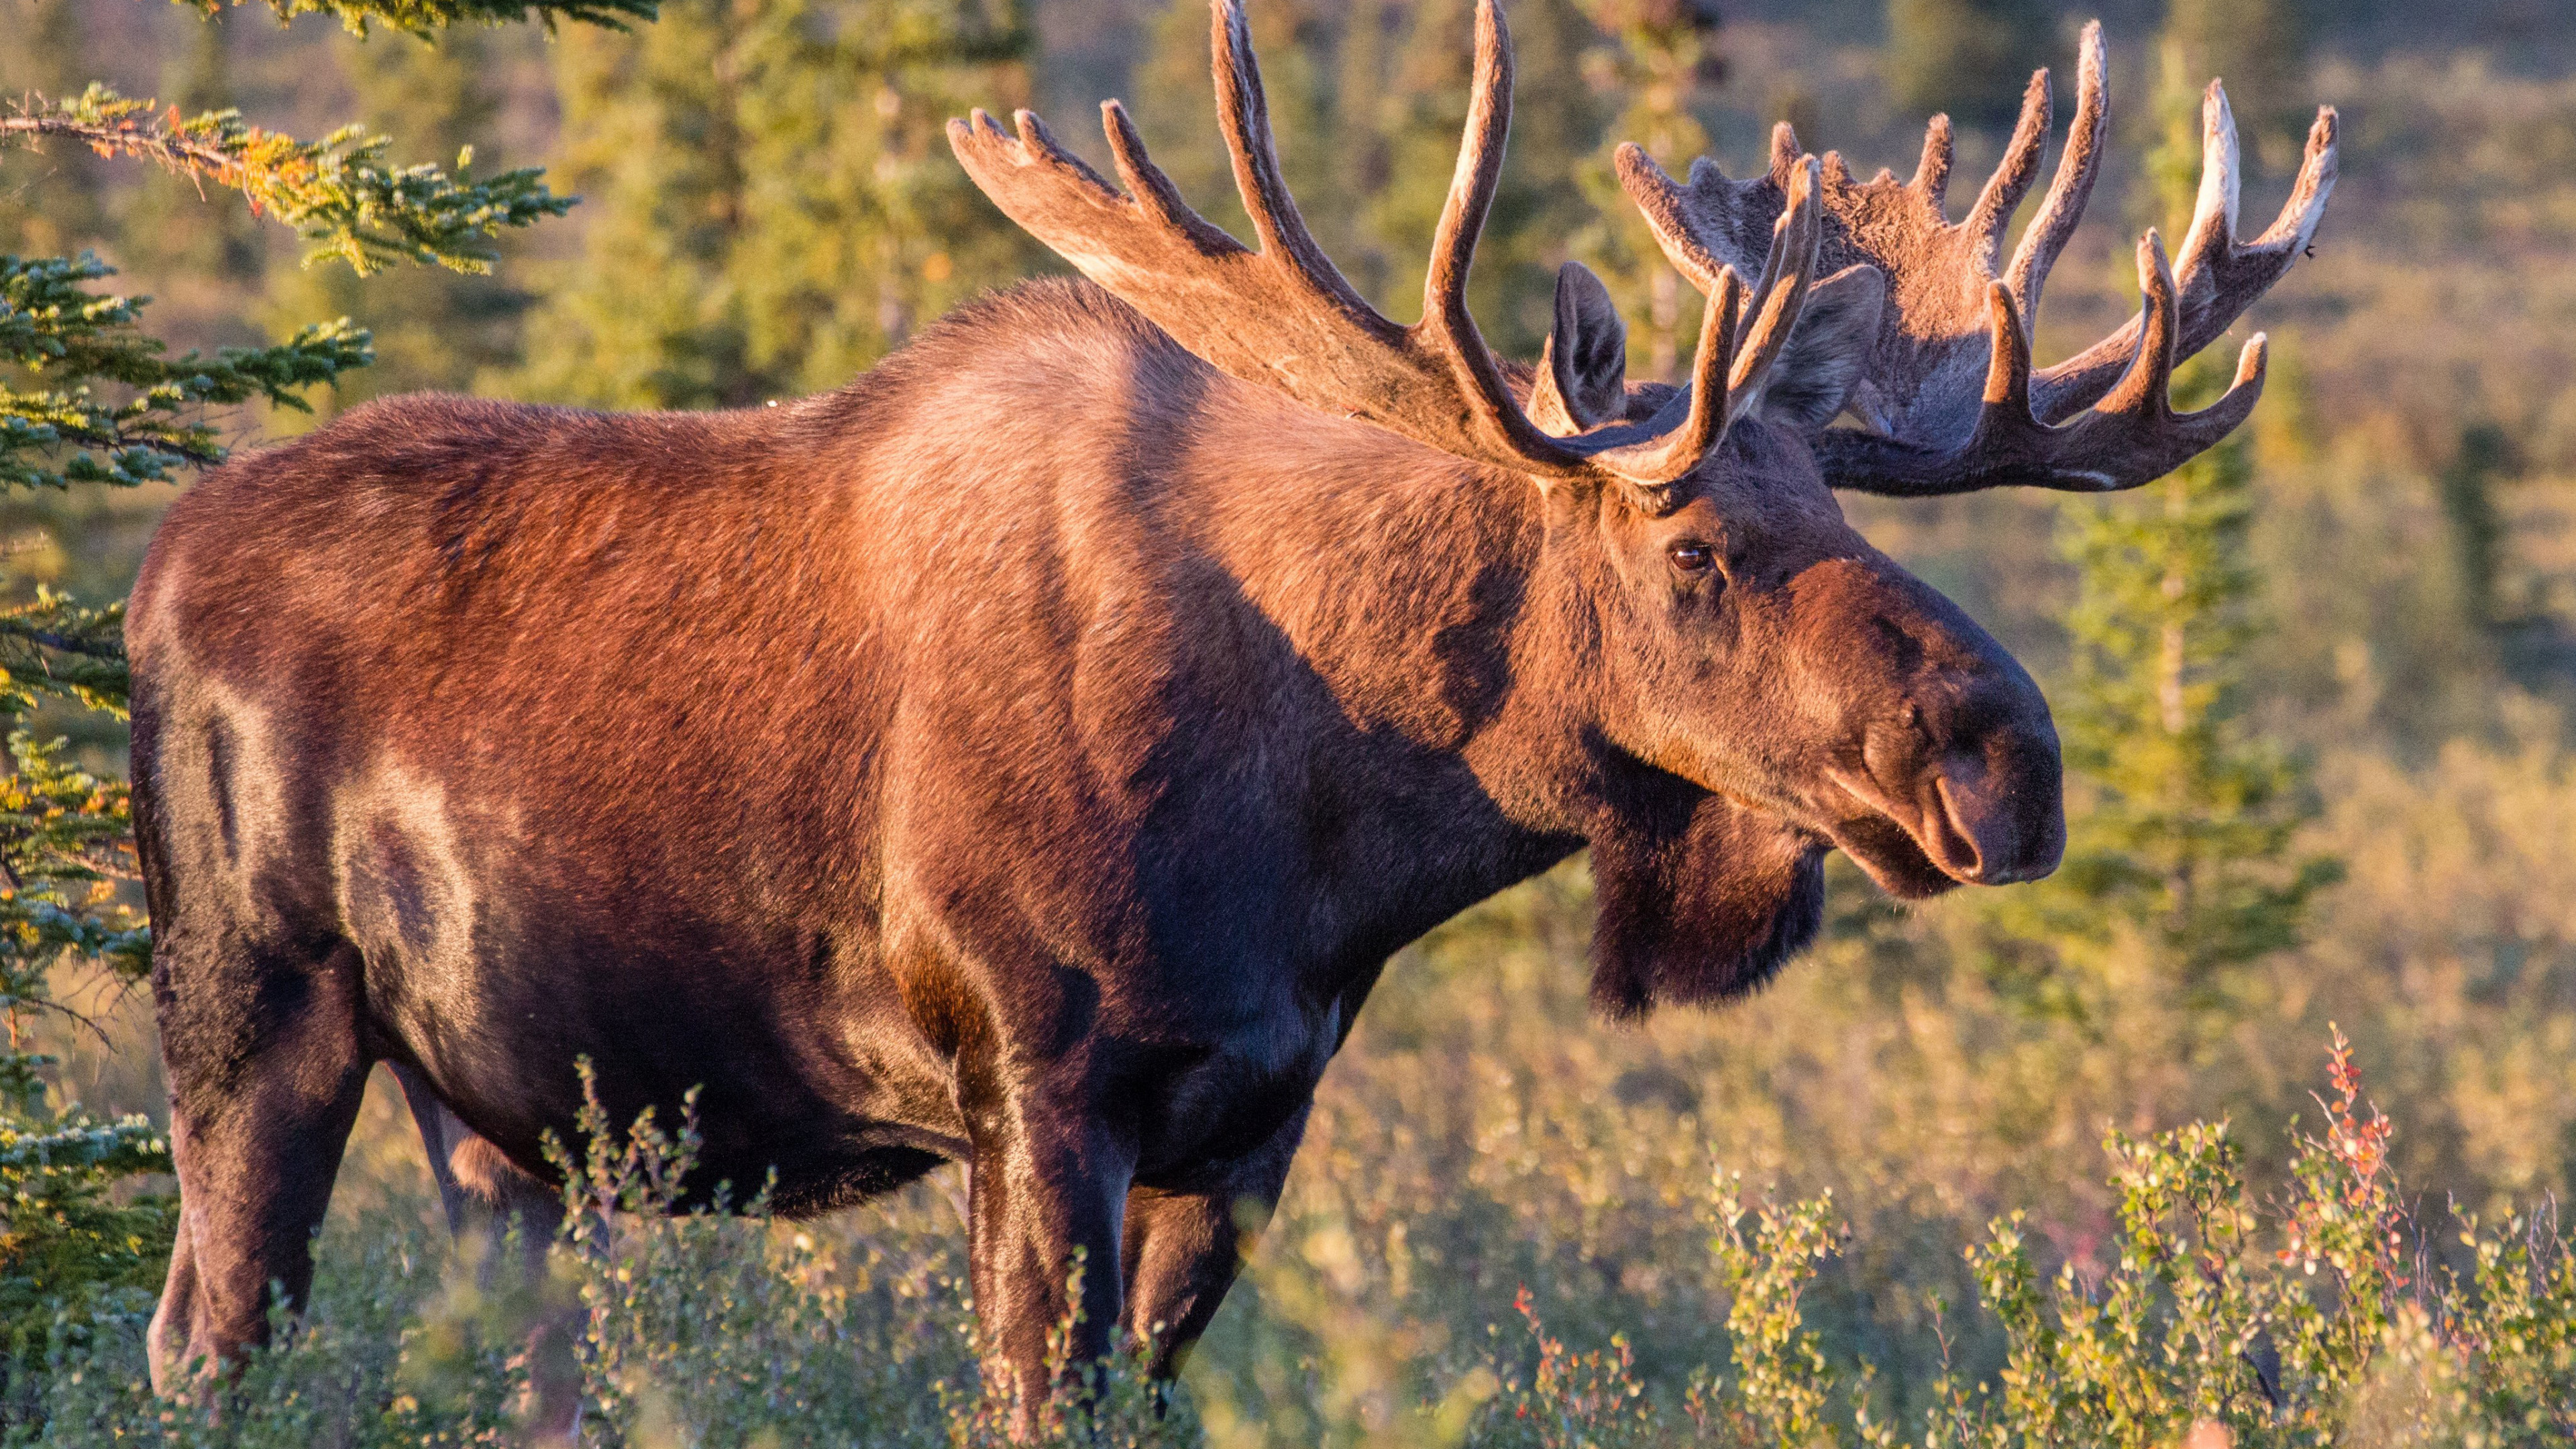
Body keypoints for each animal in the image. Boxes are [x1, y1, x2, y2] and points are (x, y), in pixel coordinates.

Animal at [125, 0, 2339, 1423]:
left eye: (1842, 505)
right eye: (1699, 544)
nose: (2008, 761)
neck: (1332, 830)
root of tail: (147, 579)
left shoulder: (1252, 1124)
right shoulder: (1037, 1086)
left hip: (501, 1118)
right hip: (254, 1011)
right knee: (199, 1339)